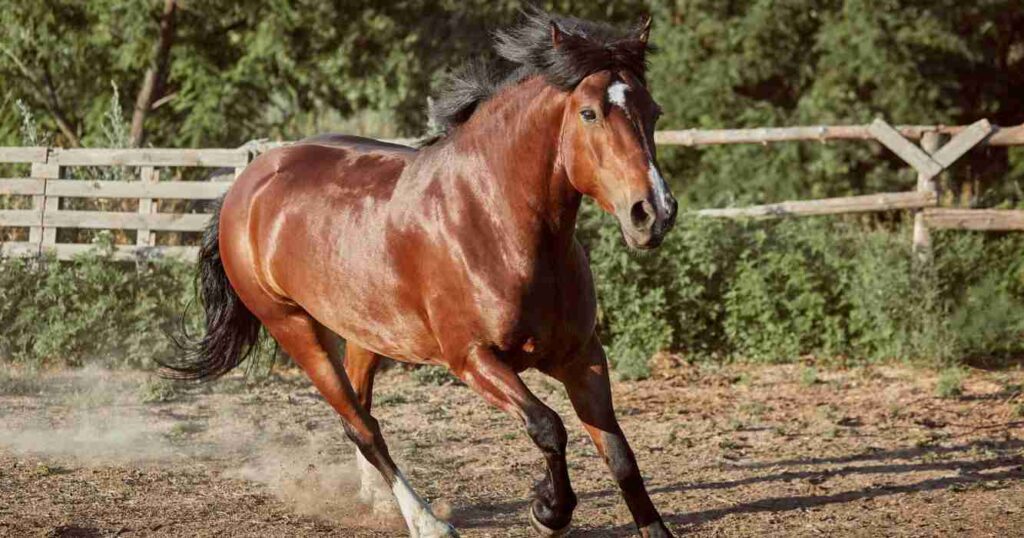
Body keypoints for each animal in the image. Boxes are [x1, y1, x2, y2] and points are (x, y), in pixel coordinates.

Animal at [163, 9, 679, 536]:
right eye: (589, 113)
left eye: (654, 112)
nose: (653, 213)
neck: (494, 220)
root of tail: (246, 185)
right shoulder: (473, 359)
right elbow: (548, 427)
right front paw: (548, 511)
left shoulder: (582, 356)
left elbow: (620, 454)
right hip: (294, 328)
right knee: (362, 427)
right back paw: (426, 520)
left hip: (364, 331)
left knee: (361, 410)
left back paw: (379, 502)